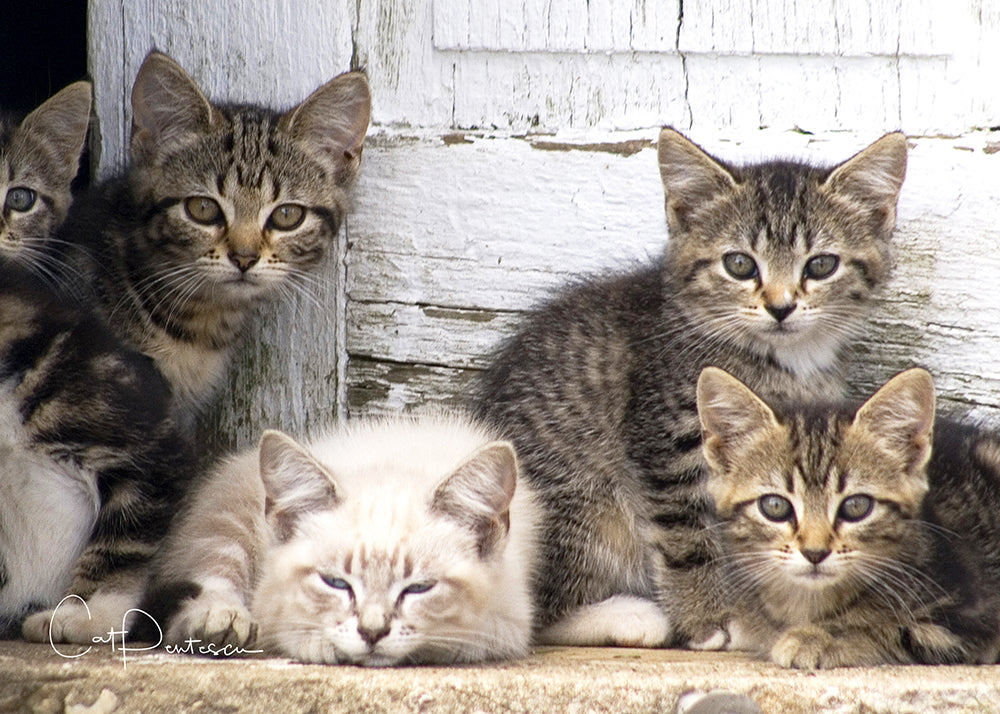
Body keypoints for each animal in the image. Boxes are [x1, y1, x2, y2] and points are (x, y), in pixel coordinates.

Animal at [141, 414, 540, 664]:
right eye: (335, 582)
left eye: (419, 588)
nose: (372, 632)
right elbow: (282, 624)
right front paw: (318, 643)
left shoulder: (511, 624)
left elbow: (458, 639)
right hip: (229, 521)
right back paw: (219, 622)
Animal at [474, 126, 908, 644]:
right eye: (740, 264)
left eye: (821, 265)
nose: (780, 307)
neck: (781, 361)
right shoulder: (667, 433)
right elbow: (687, 534)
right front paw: (707, 618)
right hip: (583, 502)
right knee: (534, 613)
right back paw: (630, 616)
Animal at [696, 368, 1000, 668]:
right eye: (775, 506)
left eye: (856, 506)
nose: (815, 552)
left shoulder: (964, 618)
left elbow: (892, 630)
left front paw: (818, 638)